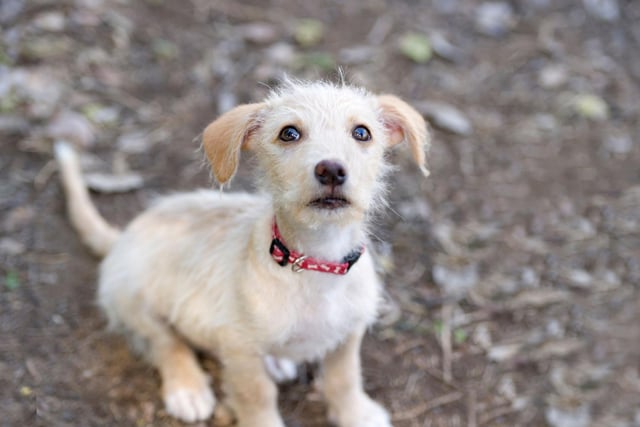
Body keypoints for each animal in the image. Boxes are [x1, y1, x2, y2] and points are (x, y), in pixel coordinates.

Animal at [56, 81, 430, 427]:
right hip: (134, 300)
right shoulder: (239, 348)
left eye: (362, 132)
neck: (314, 262)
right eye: (289, 133)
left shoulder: (349, 334)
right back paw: (188, 388)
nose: (332, 170)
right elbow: (256, 395)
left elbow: (345, 378)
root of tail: (123, 235)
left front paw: (356, 414)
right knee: (165, 343)